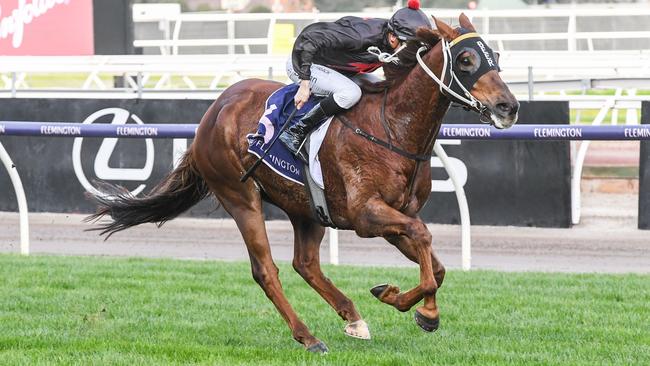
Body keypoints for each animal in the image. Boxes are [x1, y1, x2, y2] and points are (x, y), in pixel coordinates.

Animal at [88, 14, 520, 352]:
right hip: (240, 196)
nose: (508, 107)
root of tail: (212, 113)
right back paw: (308, 337)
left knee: (306, 263)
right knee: (266, 270)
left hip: (305, 207)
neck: (392, 127)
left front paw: (393, 296)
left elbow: (436, 263)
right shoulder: (367, 216)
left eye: (496, 57)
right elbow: (426, 241)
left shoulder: (396, 216)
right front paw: (427, 313)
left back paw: (352, 317)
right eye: (466, 59)